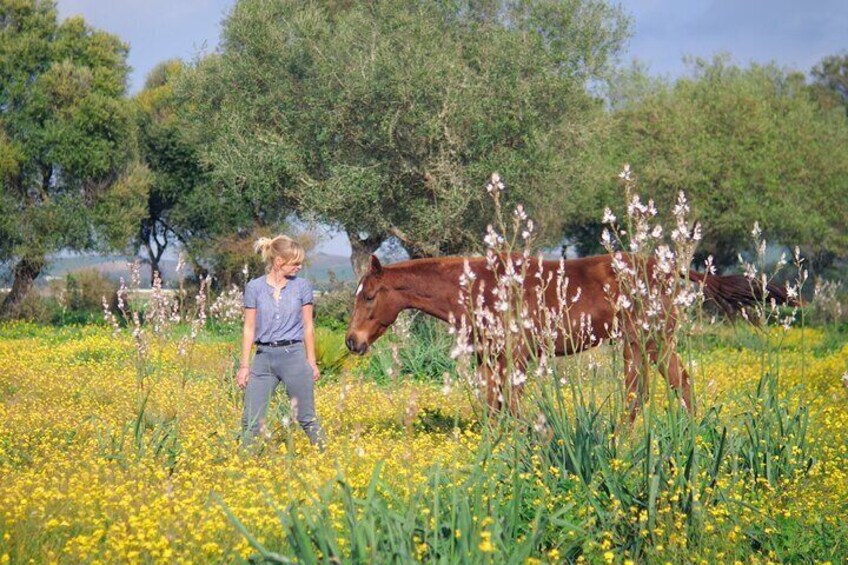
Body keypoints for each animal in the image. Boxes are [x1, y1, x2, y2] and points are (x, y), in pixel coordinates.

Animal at [342, 254, 788, 414]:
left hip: (643, 342)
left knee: (643, 392)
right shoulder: (490, 358)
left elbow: (510, 405)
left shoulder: (516, 356)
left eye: (369, 296)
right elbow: (493, 406)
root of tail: (666, 267)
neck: (482, 286)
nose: (352, 341)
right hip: (649, 344)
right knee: (677, 385)